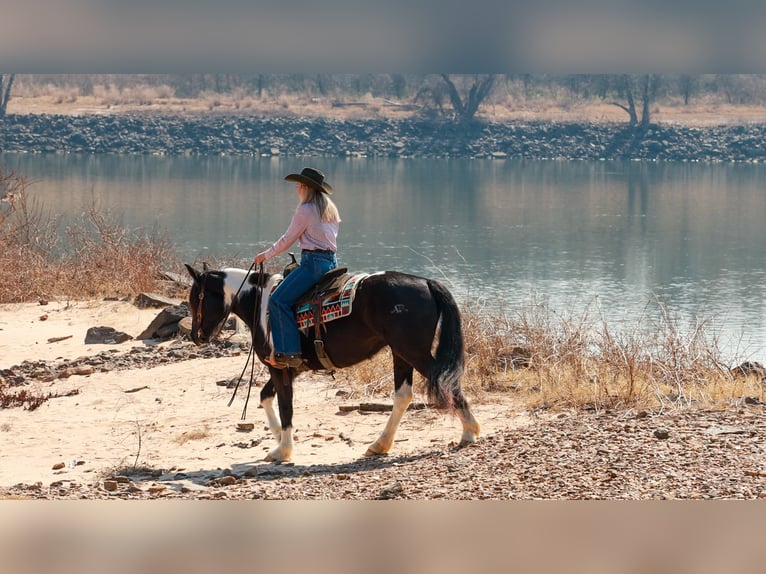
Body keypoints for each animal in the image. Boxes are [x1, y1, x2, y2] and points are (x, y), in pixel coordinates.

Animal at [184, 263, 480, 463]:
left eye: (195, 299)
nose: (197, 337)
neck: (261, 304)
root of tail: (426, 282)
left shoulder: (280, 368)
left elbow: (285, 406)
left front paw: (283, 449)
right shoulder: (291, 368)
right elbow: (266, 397)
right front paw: (278, 436)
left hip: (412, 350)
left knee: (443, 381)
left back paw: (469, 432)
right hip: (401, 353)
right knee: (403, 395)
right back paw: (380, 445)